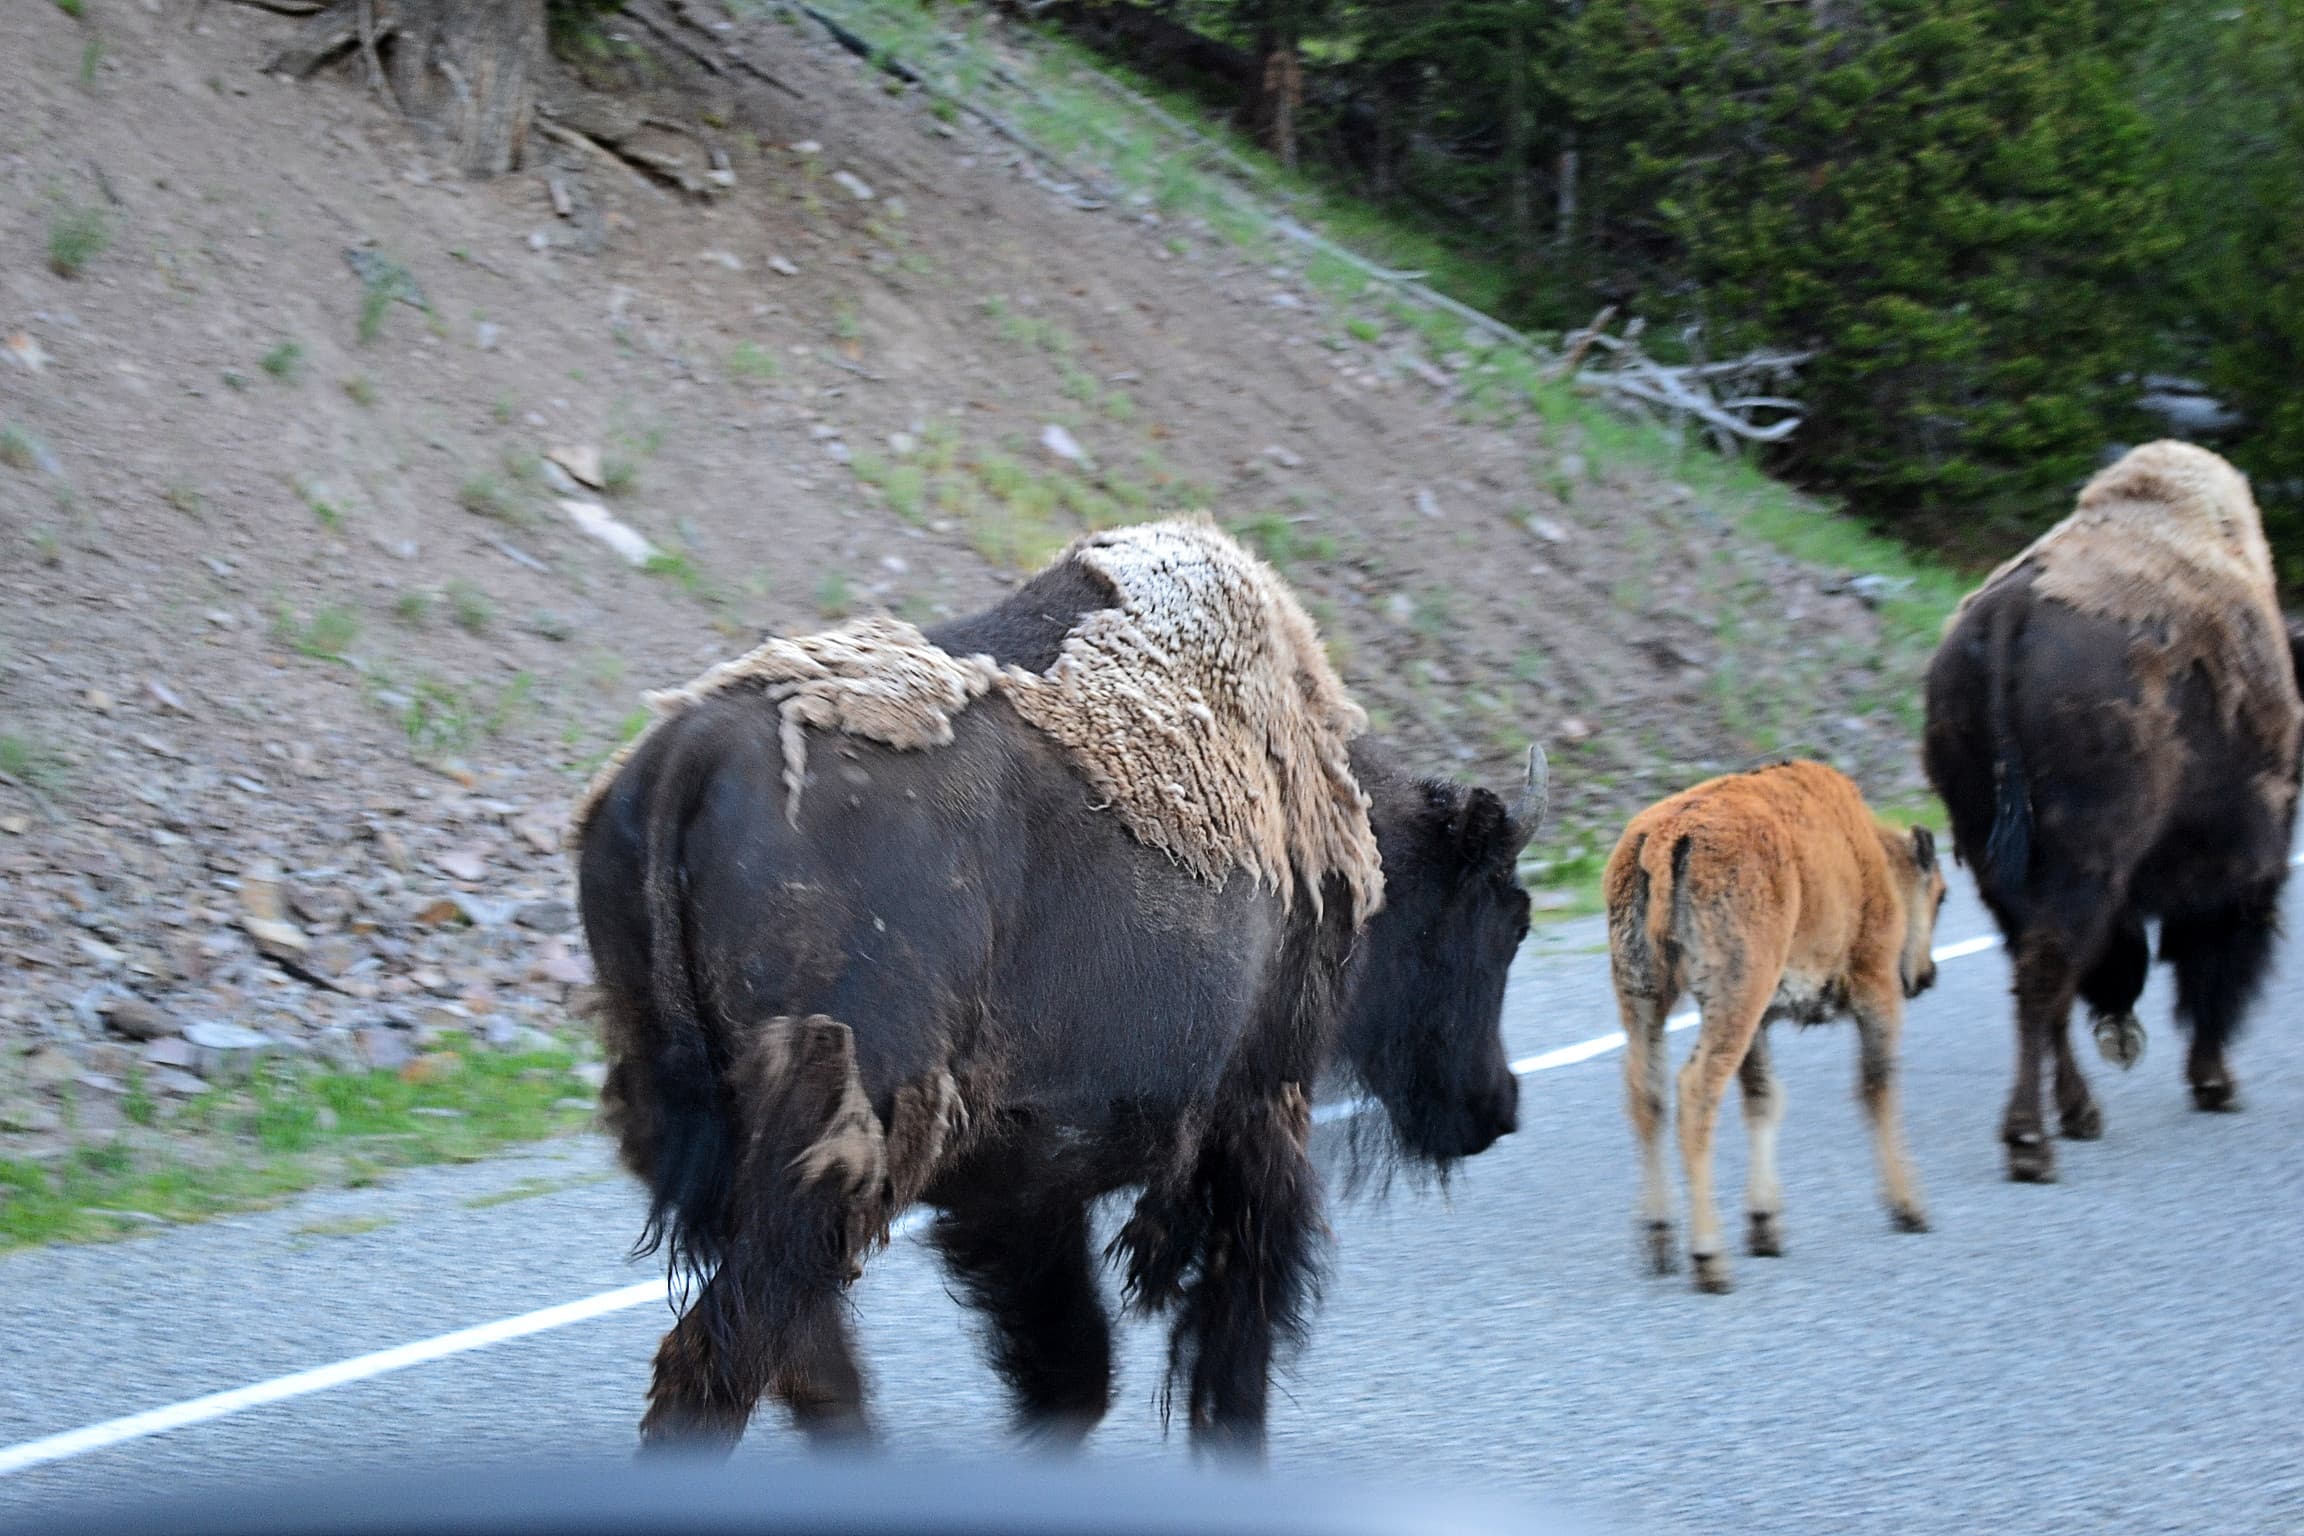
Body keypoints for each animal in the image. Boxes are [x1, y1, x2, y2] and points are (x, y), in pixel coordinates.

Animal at [574, 521, 1540, 1458]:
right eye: (1508, 917)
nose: (1497, 1106)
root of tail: (686, 759)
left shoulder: (1019, 1190)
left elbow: (1072, 1372)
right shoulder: (1255, 1118)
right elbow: (1223, 1355)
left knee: (800, 1361)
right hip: (831, 1149)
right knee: (727, 1358)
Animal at [1924, 442, 2303, 1182]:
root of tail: (2008, 613)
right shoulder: (2244, 862)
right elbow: (2207, 959)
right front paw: (2214, 1081)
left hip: (1996, 859)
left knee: (2042, 979)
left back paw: (2076, 1117)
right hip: (2086, 858)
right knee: (2048, 971)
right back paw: (2031, 1143)